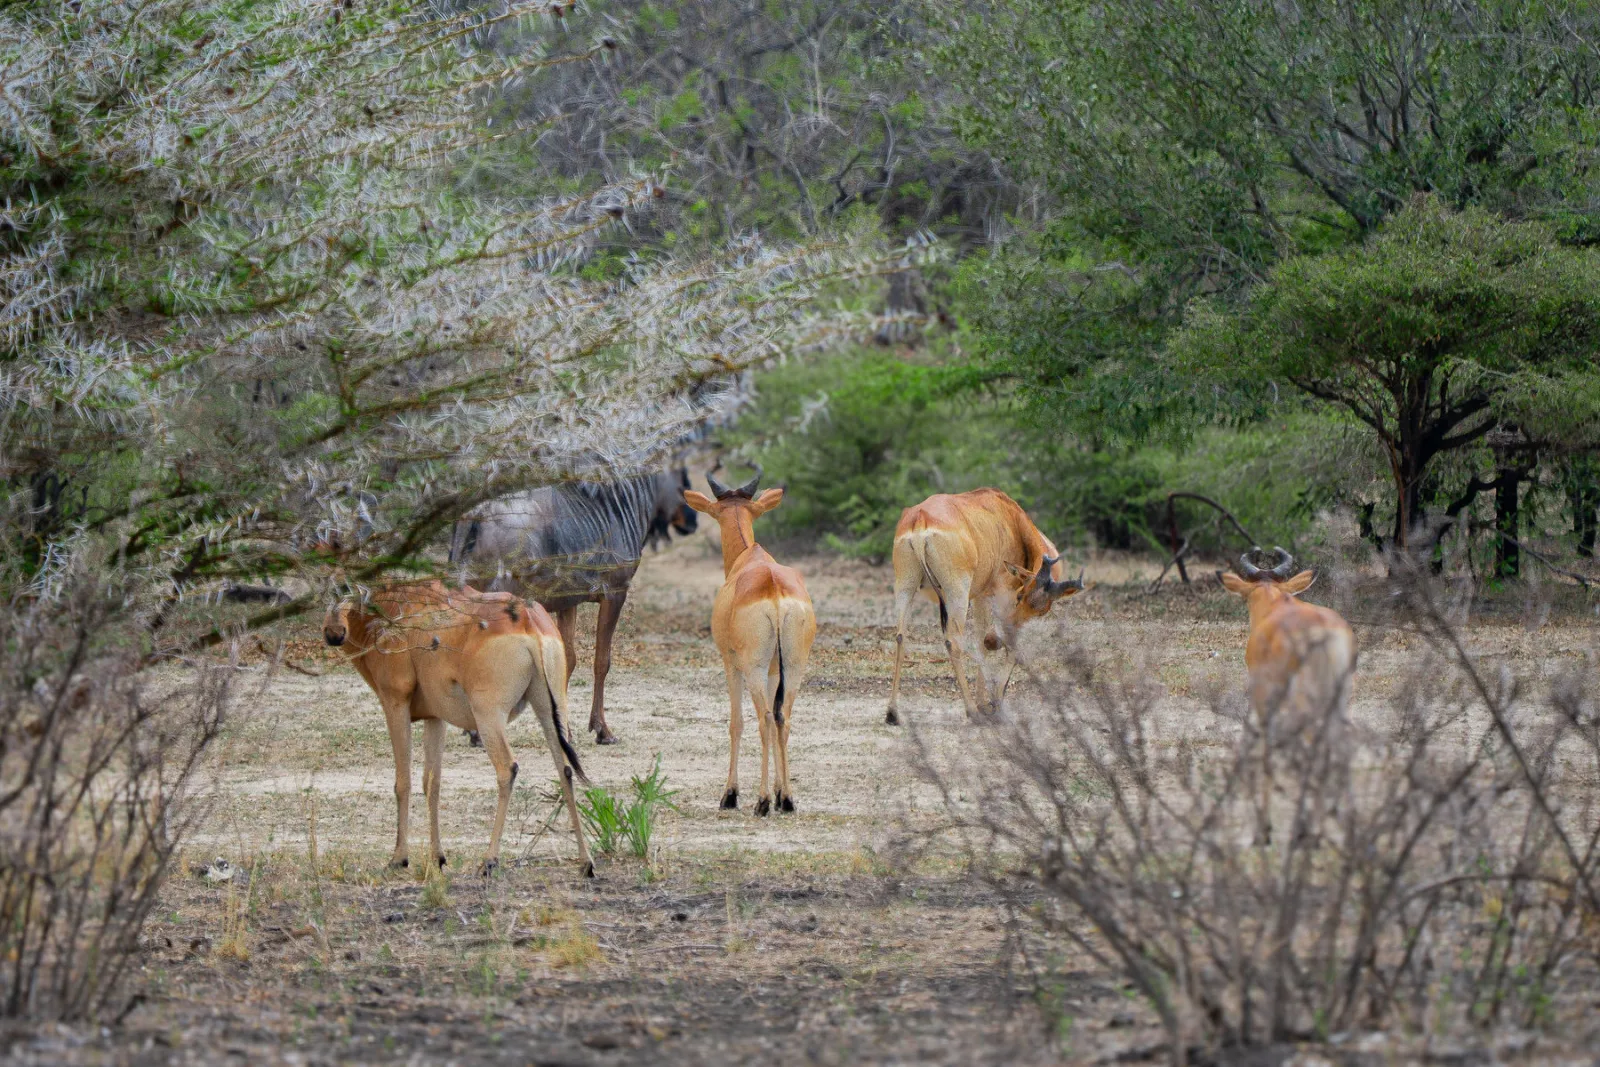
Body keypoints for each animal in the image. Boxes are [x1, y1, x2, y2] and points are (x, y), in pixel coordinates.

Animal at [323, 581, 592, 877]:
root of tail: (527, 619)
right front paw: (437, 858)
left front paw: (399, 858)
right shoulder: (434, 717)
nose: (334, 633)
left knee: (507, 768)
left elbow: (403, 781)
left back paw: (489, 860)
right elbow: (432, 783)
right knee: (565, 769)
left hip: (488, 715)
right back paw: (586, 863)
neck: (397, 605)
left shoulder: (396, 705)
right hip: (551, 709)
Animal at [681, 469, 816, 815]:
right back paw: (786, 800)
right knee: (783, 717)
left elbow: (736, 722)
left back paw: (762, 801)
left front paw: (730, 795)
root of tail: (774, 587)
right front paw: (781, 793)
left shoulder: (730, 662)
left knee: (765, 718)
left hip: (752, 667)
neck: (749, 557)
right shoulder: (773, 670)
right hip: (794, 666)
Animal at [888, 489, 1084, 724]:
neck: (1007, 515)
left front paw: (986, 703)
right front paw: (994, 705)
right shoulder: (999, 591)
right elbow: (1002, 643)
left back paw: (892, 713)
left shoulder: (982, 595)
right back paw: (972, 712)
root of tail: (920, 518)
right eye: (1020, 596)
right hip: (957, 591)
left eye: (1042, 610)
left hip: (905, 584)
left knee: (901, 636)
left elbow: (983, 641)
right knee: (953, 641)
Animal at [1219, 547, 1357, 846]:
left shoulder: (1264, 699)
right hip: (1337, 701)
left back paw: (1310, 833)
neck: (1275, 605)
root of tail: (1326, 634)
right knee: (1340, 748)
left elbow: (1267, 751)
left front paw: (1264, 831)